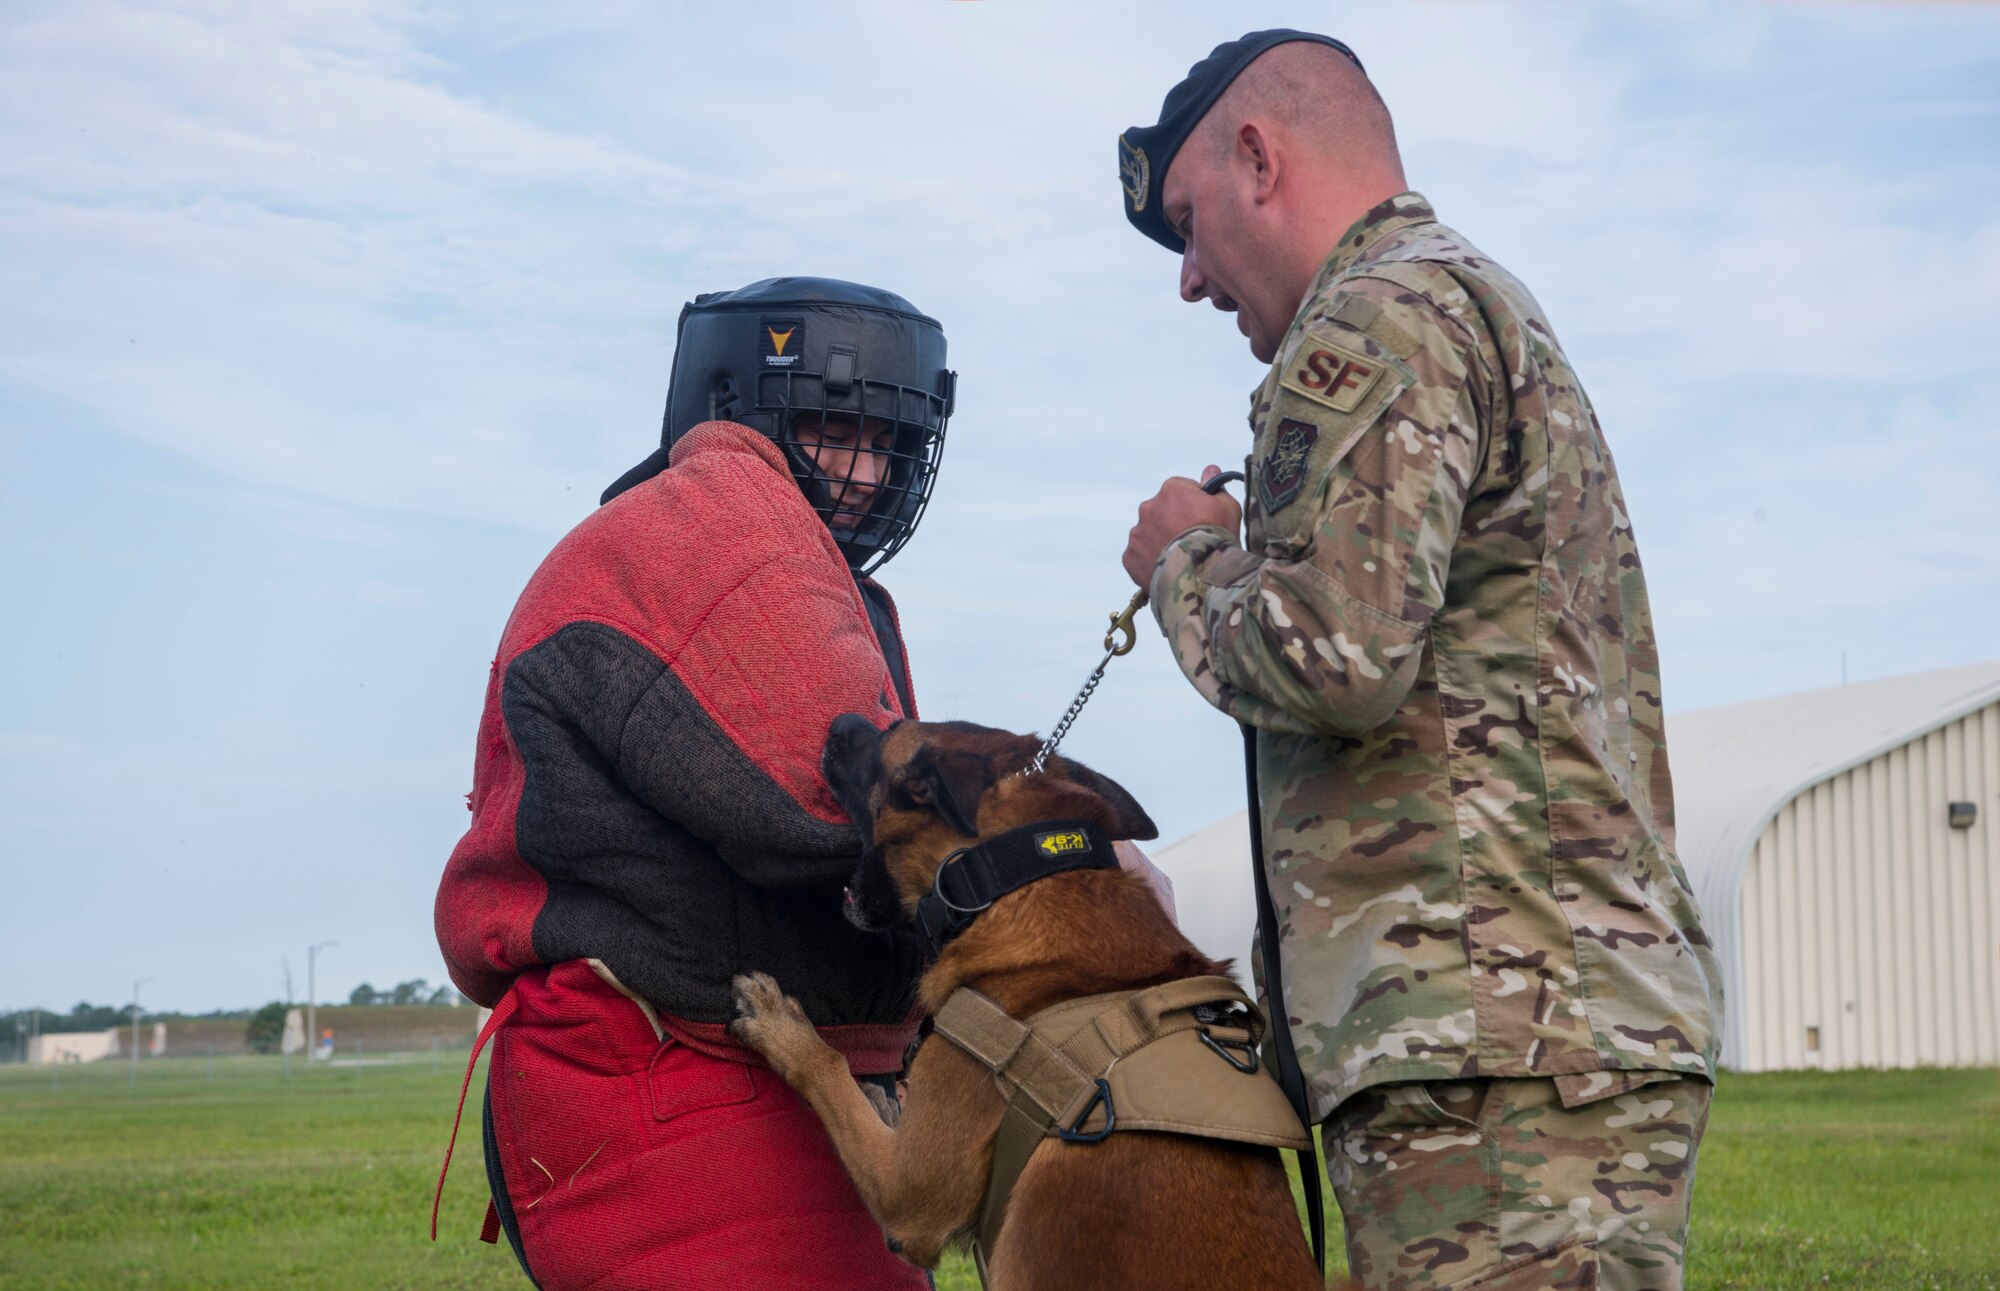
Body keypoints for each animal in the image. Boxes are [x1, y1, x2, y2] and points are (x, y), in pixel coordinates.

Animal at [728, 719, 1336, 1291]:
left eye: (883, 741)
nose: (842, 724)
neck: (1012, 883)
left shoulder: (909, 1202)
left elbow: (830, 1071)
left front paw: (783, 1028)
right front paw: (883, 1098)